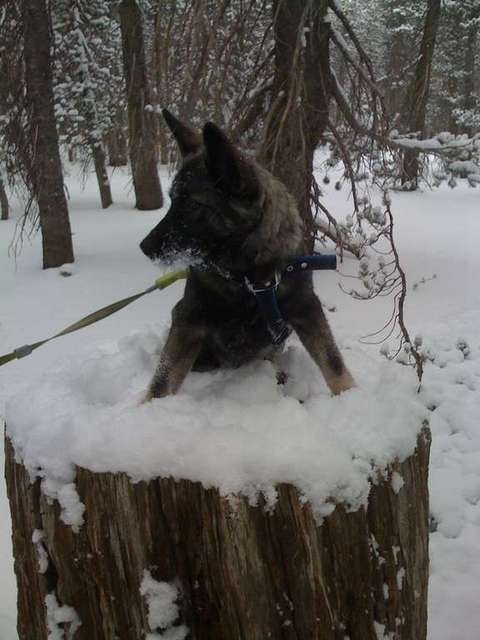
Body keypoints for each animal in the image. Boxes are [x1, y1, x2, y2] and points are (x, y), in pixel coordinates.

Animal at [139, 110, 352, 400]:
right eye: (172, 200)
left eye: (191, 204)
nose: (144, 246)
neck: (249, 275)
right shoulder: (188, 318)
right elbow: (163, 378)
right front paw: (149, 406)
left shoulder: (306, 307)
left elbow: (333, 361)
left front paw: (350, 394)